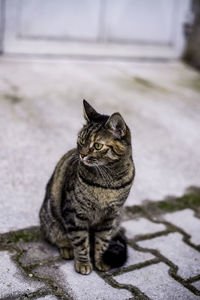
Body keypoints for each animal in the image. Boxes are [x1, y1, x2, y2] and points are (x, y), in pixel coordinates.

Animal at [39, 100, 135, 274]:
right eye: (81, 141)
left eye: (97, 146)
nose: (82, 155)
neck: (108, 182)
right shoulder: (75, 213)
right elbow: (80, 240)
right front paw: (83, 263)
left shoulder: (109, 217)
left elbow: (102, 241)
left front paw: (99, 260)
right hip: (51, 220)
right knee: (61, 237)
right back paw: (67, 249)